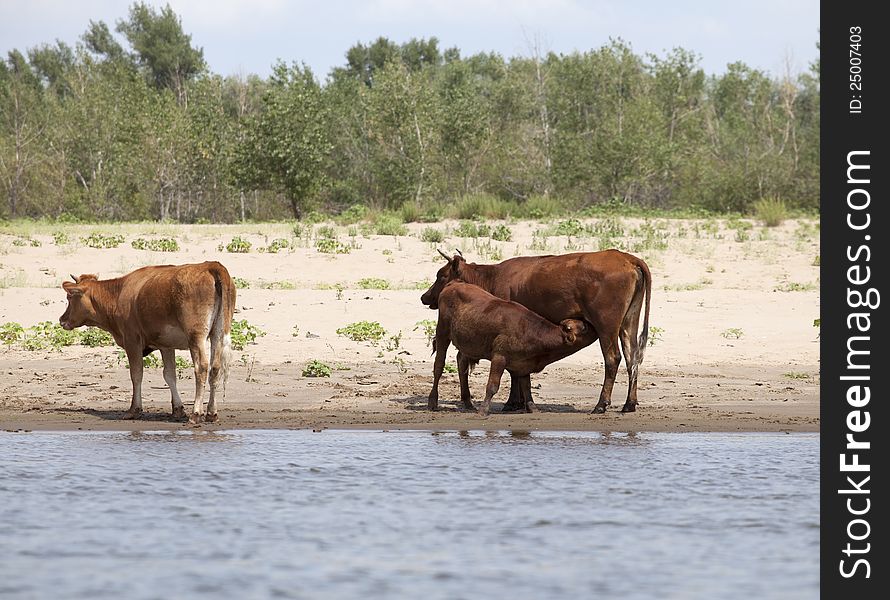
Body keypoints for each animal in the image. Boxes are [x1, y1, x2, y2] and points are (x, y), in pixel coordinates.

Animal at [60, 262, 238, 422]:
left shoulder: (132, 340)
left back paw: (196, 413)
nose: (62, 319)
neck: (118, 294)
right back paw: (211, 413)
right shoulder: (166, 345)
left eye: (69, 297)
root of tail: (211, 265)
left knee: (201, 367)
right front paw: (178, 409)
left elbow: (136, 374)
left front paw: (134, 409)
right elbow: (169, 375)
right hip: (218, 332)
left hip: (196, 335)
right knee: (215, 368)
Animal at [430, 282, 596, 414]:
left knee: (461, 362)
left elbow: (527, 388)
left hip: (467, 343)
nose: (593, 324)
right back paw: (433, 401)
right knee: (438, 366)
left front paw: (533, 408)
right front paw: (484, 410)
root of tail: (454, 284)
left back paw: (468, 403)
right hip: (442, 332)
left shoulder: (523, 365)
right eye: (584, 327)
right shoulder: (499, 357)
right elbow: (493, 385)